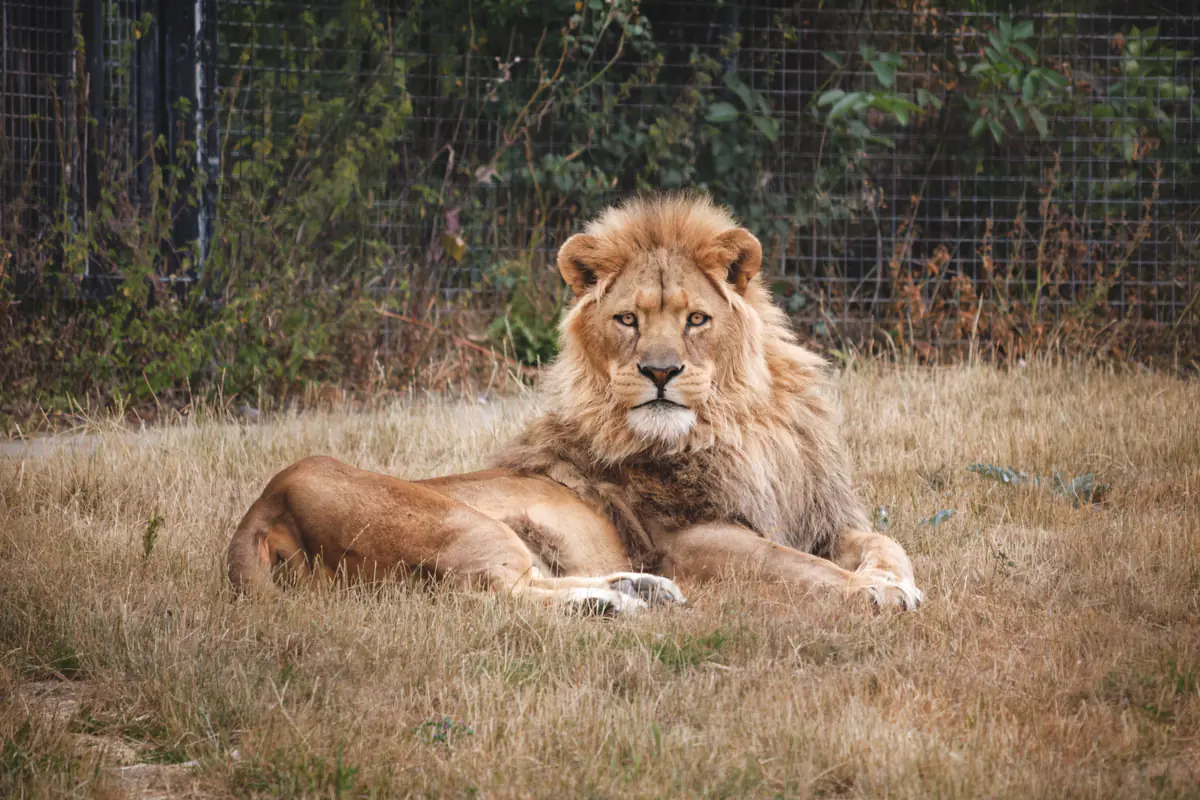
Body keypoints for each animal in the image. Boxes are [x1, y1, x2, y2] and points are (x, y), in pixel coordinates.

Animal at [225, 193, 923, 614]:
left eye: (696, 319)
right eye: (627, 320)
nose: (660, 371)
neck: (739, 425)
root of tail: (265, 505)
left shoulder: (822, 518)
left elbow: (887, 542)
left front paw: (896, 579)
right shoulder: (692, 540)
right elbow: (796, 567)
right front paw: (876, 592)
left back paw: (635, 590)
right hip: (464, 527)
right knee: (490, 595)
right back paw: (612, 603)